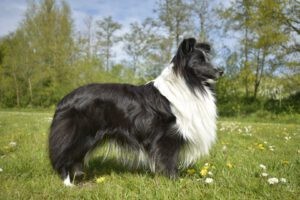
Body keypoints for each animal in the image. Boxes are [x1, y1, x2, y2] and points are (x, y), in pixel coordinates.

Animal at [48, 37, 223, 186]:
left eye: (209, 59)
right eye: (199, 61)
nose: (221, 70)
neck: (189, 84)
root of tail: (65, 99)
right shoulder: (166, 137)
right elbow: (168, 161)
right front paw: (173, 182)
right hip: (79, 135)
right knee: (64, 156)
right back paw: (68, 184)